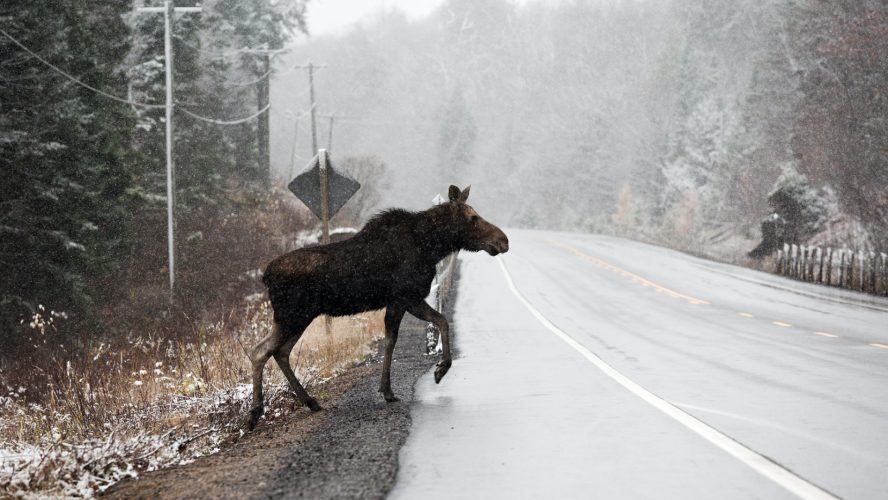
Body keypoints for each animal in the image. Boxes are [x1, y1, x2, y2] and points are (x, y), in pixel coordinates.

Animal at [246, 186, 510, 428]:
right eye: (472, 217)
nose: (503, 240)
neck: (431, 247)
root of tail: (266, 276)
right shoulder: (406, 297)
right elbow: (432, 325)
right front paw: (438, 370)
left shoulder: (401, 301)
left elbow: (406, 334)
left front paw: (391, 388)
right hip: (291, 316)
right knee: (260, 351)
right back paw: (255, 413)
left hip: (298, 317)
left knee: (279, 351)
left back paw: (309, 401)